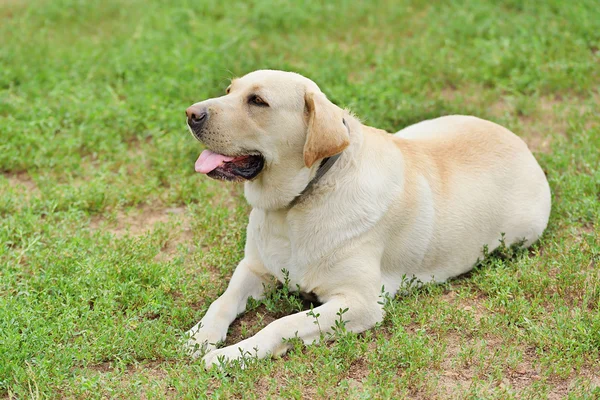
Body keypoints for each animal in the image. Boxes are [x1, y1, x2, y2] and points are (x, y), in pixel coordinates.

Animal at [184, 69, 552, 368]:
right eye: (229, 90)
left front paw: (233, 354)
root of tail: (517, 140)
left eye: (258, 101)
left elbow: (282, 323)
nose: (190, 113)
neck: (294, 205)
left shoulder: (359, 302)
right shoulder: (254, 268)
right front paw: (201, 335)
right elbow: (223, 300)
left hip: (522, 234)